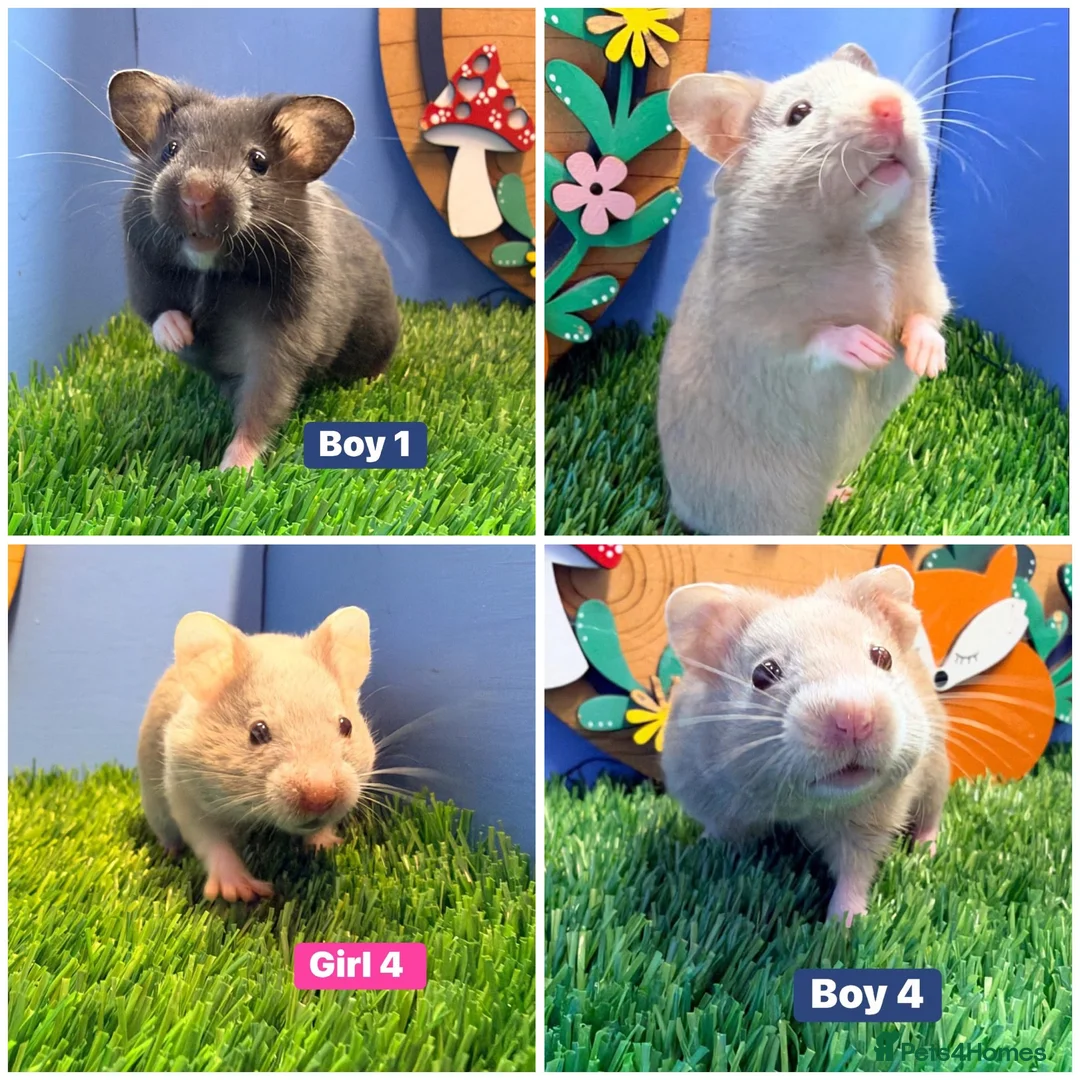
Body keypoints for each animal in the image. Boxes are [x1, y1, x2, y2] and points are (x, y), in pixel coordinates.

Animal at [107, 70, 400, 470]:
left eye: (258, 161)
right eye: (170, 149)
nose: (196, 193)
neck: (214, 270)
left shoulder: (283, 336)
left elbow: (265, 400)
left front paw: (231, 469)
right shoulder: (144, 274)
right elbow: (158, 313)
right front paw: (180, 337)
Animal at [137, 607, 376, 902]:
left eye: (346, 725)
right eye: (257, 731)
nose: (321, 796)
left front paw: (329, 844)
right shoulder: (185, 795)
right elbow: (211, 842)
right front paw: (244, 892)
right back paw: (171, 851)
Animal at [658, 45, 950, 534]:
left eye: (873, 82)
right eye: (799, 113)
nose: (889, 103)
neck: (863, 235)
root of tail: (679, 504)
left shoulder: (926, 285)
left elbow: (925, 319)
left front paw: (927, 362)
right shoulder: (756, 326)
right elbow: (816, 339)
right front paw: (872, 349)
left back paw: (842, 493)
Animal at [661, 565, 949, 925]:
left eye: (882, 657)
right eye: (763, 673)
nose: (854, 718)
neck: (797, 802)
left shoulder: (869, 819)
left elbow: (854, 874)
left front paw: (842, 927)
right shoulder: (714, 800)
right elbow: (719, 834)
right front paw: (696, 854)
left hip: (936, 772)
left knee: (931, 816)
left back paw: (926, 852)